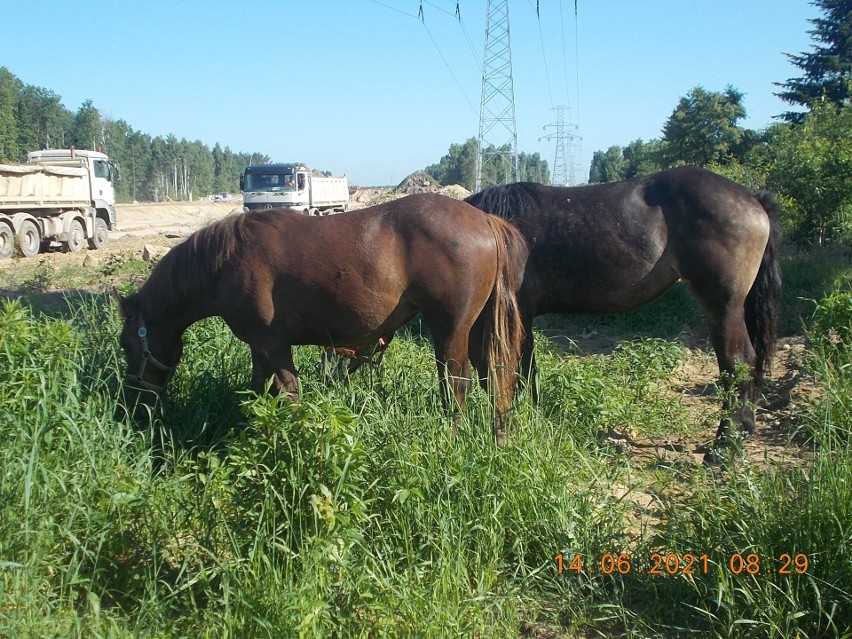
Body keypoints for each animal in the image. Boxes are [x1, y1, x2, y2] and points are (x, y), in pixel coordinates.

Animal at [113, 195, 524, 442]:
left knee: (456, 386)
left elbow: (288, 394)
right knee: (495, 379)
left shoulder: (272, 344)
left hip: (450, 329)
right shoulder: (259, 347)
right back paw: (499, 439)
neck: (225, 262)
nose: (133, 402)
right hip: (475, 330)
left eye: (125, 343)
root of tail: (485, 219)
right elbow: (259, 391)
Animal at [466, 168, 784, 462]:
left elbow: (504, 371)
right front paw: (531, 421)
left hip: (723, 307)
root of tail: (753, 199)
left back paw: (722, 447)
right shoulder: (524, 318)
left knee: (738, 364)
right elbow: (525, 372)